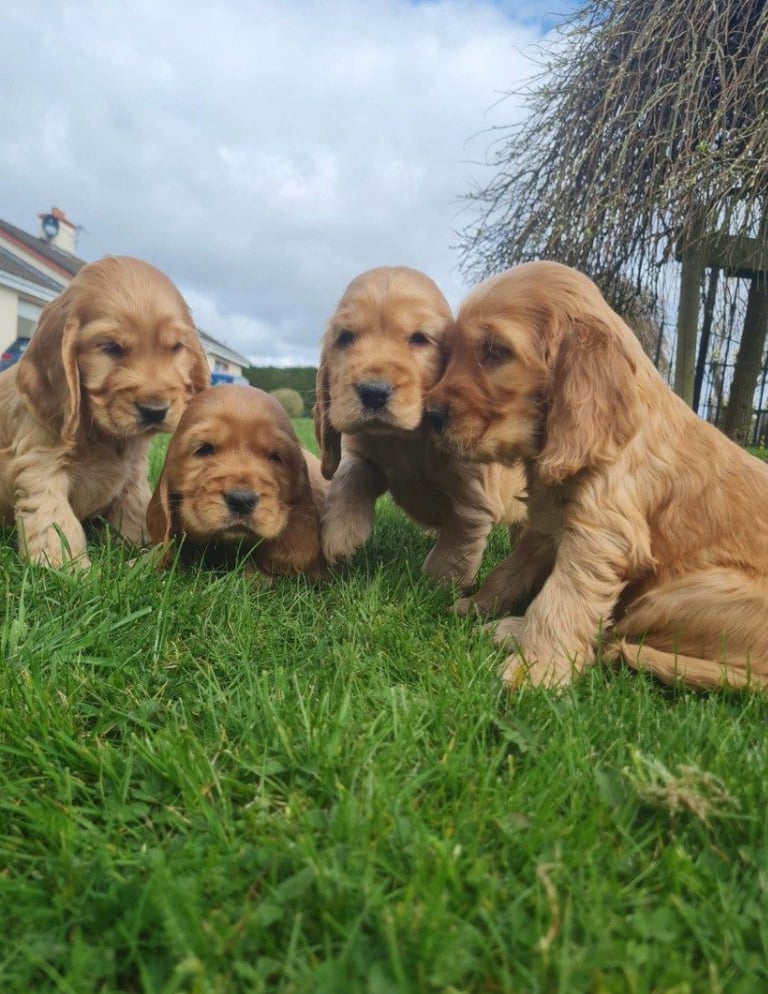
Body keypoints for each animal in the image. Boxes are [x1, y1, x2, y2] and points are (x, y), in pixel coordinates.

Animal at [0, 256, 208, 564]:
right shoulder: (41, 466)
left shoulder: (133, 472)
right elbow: (55, 521)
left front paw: (141, 549)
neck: (99, 434)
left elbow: (135, 508)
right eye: (111, 347)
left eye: (175, 347)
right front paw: (68, 567)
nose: (154, 410)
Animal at [314, 266, 528, 588]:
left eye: (419, 338)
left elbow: (454, 549)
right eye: (345, 337)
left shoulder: (473, 499)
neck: (406, 440)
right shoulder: (365, 455)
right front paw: (339, 537)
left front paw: (437, 587)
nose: (373, 392)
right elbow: (349, 477)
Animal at [428, 258, 768, 688]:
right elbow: (511, 570)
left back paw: (513, 632)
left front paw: (536, 669)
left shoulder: (601, 534)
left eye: (496, 350)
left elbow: (562, 599)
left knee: (615, 640)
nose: (430, 415)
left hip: (692, 591)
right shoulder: (547, 523)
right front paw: (475, 604)